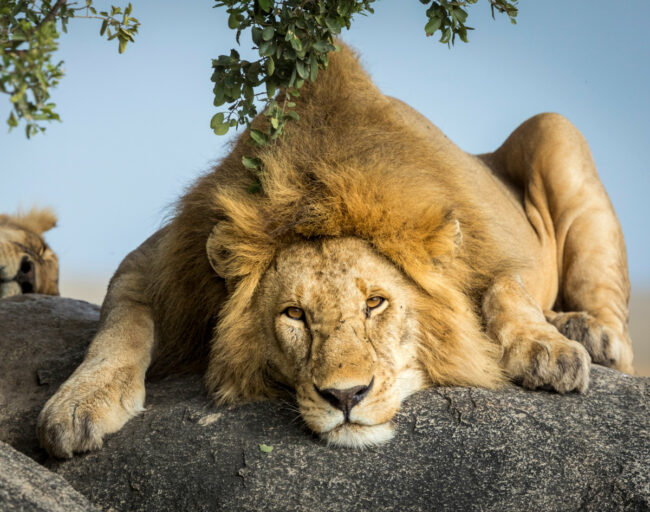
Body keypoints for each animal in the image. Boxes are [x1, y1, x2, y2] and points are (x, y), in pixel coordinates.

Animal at [37, 44, 635, 458]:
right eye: (294, 314)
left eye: (375, 303)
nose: (346, 398)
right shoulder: (156, 265)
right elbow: (120, 328)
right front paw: (77, 404)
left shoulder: (487, 249)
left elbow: (507, 288)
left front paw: (545, 349)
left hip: (556, 129)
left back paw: (588, 334)